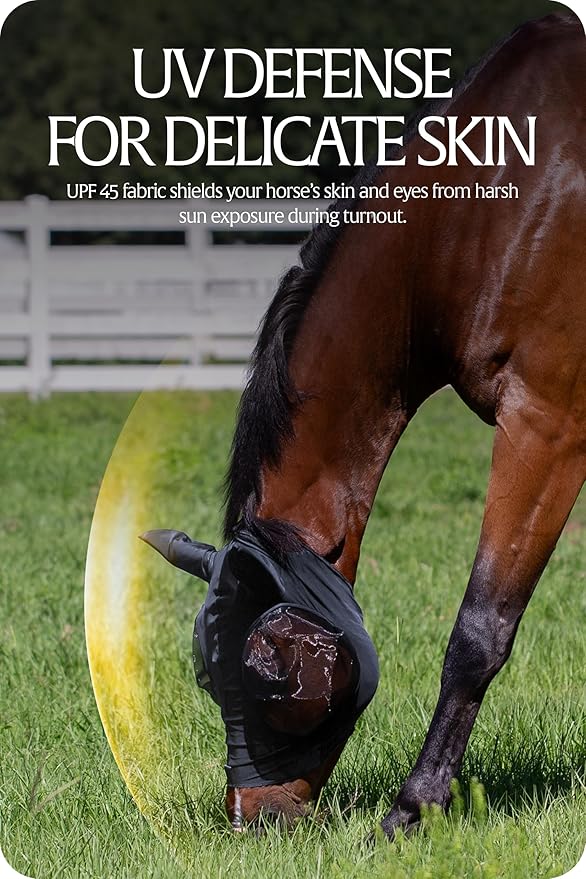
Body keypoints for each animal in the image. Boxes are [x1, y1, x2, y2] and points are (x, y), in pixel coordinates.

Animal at [148, 13, 584, 837]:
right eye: (206, 675)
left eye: (273, 673)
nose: (253, 818)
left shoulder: (548, 426)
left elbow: (480, 628)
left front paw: (415, 805)